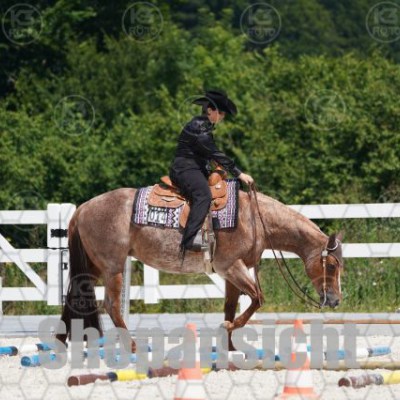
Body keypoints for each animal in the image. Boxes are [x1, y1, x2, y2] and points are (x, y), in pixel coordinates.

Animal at [56, 187, 344, 350]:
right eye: (331, 264)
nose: (335, 300)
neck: (254, 219)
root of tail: (82, 209)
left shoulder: (231, 274)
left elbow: (231, 306)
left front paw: (230, 347)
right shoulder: (231, 267)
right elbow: (257, 299)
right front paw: (227, 330)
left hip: (92, 268)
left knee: (74, 299)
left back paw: (60, 344)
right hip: (113, 268)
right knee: (112, 306)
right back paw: (133, 346)